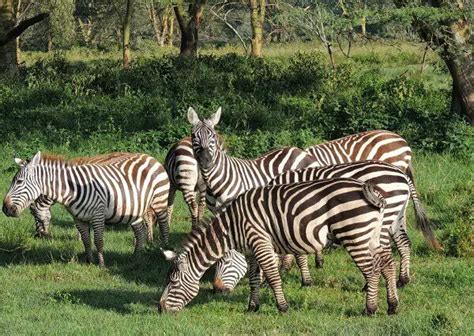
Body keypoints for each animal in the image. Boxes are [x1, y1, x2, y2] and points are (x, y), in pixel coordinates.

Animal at [3, 151, 170, 266]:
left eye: (19, 181)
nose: (5, 209)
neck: (72, 189)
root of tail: (150, 157)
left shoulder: (98, 214)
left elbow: (98, 240)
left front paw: (101, 264)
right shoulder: (78, 218)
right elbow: (86, 240)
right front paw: (89, 261)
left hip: (159, 201)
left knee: (164, 227)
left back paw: (166, 250)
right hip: (135, 208)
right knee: (140, 231)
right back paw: (136, 256)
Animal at [157, 178, 398, 316]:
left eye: (173, 282)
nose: (159, 310)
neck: (232, 226)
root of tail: (369, 190)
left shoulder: (260, 242)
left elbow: (273, 277)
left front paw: (282, 308)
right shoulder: (251, 250)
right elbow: (254, 278)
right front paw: (252, 307)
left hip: (354, 234)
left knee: (372, 271)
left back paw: (370, 309)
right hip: (373, 236)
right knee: (387, 264)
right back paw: (392, 305)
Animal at [266, 160, 440, 288]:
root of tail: (403, 174)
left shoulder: (297, 219)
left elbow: (298, 253)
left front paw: (303, 280)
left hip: (384, 216)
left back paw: (371, 285)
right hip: (398, 214)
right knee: (404, 243)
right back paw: (402, 281)